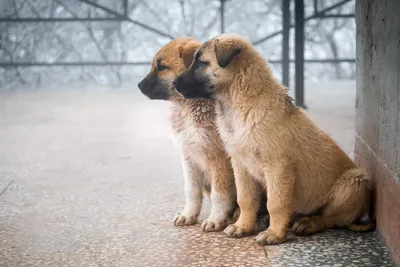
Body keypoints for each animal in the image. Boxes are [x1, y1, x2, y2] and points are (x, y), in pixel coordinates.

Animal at [138, 37, 238, 232]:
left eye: (161, 67)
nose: (138, 86)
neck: (187, 107)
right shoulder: (188, 157)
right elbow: (192, 191)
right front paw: (188, 214)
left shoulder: (219, 159)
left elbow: (219, 194)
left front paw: (215, 218)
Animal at [175, 34, 376, 247]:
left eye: (201, 63)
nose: (174, 84)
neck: (238, 103)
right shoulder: (240, 165)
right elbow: (245, 199)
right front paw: (243, 226)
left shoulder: (278, 166)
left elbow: (275, 203)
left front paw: (275, 234)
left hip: (353, 183)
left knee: (330, 218)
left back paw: (308, 223)